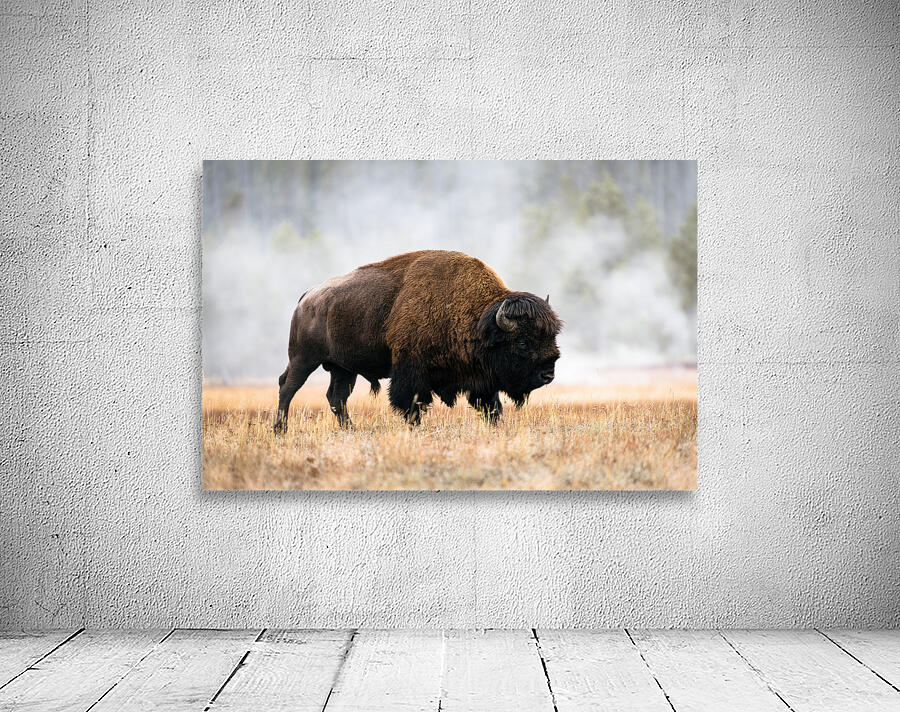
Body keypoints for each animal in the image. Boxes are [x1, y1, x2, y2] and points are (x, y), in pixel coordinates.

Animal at [273, 249, 561, 431]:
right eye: (522, 342)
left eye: (552, 336)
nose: (548, 375)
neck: (478, 321)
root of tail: (308, 297)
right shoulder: (410, 372)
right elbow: (411, 405)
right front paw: (415, 428)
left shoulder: (481, 380)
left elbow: (491, 407)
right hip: (303, 359)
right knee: (288, 387)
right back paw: (280, 430)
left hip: (343, 368)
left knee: (337, 397)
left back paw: (350, 430)